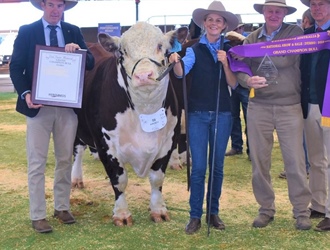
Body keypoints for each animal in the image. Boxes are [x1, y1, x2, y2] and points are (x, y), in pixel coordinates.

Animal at [72, 23, 188, 227]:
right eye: (123, 52)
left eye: (160, 46)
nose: (143, 76)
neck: (145, 110)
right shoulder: (106, 144)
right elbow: (119, 180)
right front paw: (121, 214)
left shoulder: (168, 141)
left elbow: (157, 179)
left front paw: (159, 210)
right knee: (77, 150)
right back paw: (76, 179)